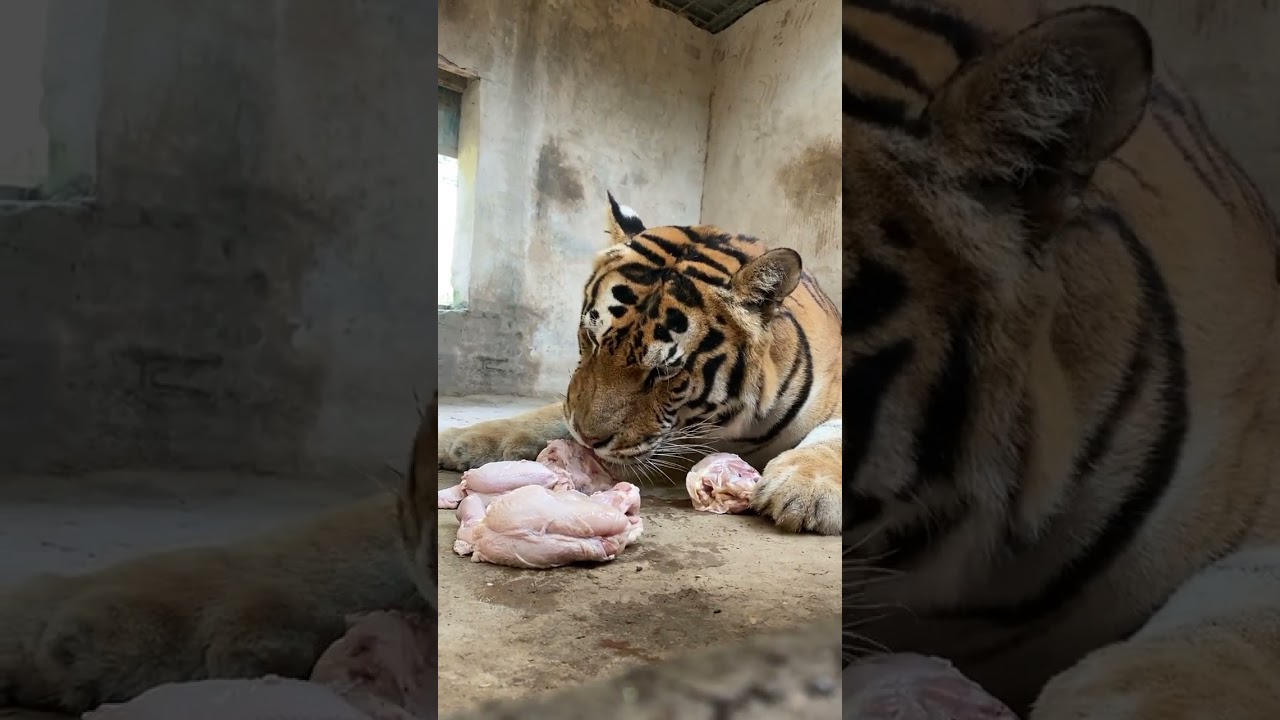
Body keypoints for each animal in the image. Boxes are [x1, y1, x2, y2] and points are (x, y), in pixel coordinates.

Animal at [438, 191, 845, 536]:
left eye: (665, 372)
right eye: (591, 339)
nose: (588, 440)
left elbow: (832, 437)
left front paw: (806, 490)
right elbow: (540, 417)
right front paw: (455, 441)